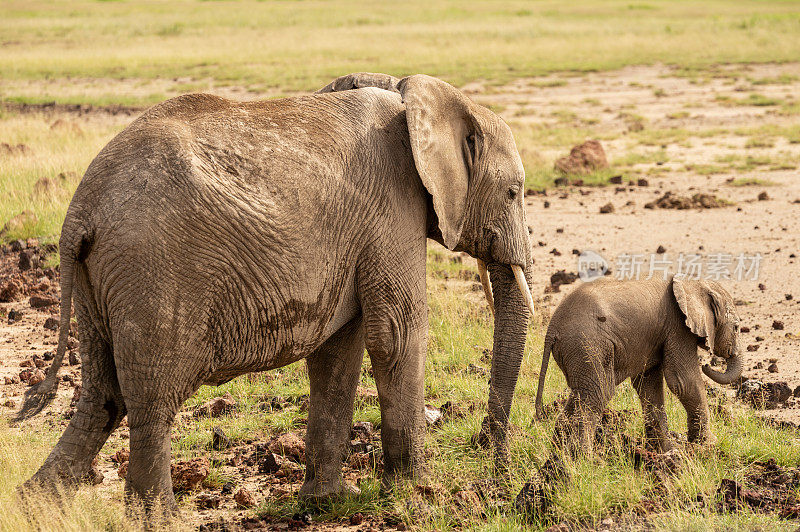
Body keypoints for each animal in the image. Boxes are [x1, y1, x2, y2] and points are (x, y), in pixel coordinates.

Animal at [18, 71, 536, 512]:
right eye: (514, 192)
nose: (494, 457)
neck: (411, 93)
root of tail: (80, 210)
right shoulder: (393, 208)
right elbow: (396, 334)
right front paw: (417, 496)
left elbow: (337, 353)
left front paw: (327, 501)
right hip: (152, 271)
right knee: (151, 400)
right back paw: (156, 519)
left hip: (100, 280)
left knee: (102, 394)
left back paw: (35, 504)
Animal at [536, 274, 744, 454]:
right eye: (736, 328)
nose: (707, 365)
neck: (692, 282)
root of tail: (552, 328)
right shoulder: (678, 328)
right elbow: (683, 382)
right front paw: (709, 446)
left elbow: (648, 386)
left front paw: (666, 452)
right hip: (587, 344)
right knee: (598, 392)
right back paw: (584, 459)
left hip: (578, 351)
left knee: (581, 393)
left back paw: (557, 455)